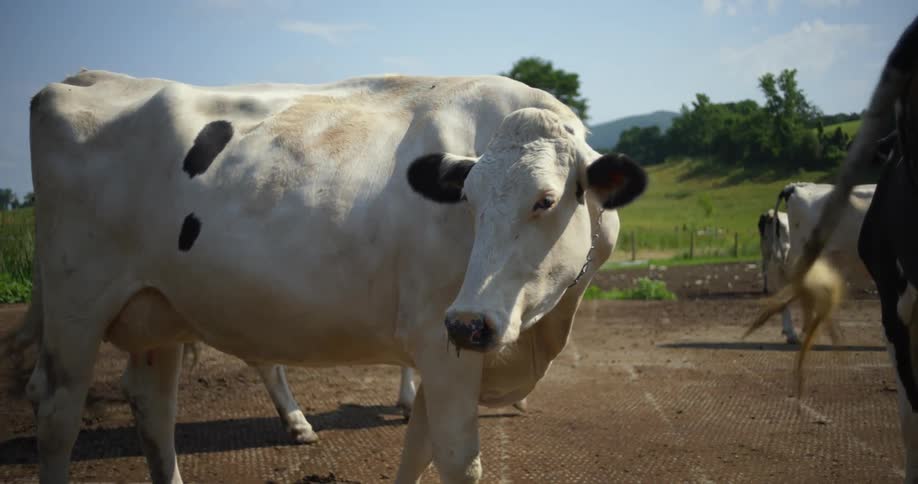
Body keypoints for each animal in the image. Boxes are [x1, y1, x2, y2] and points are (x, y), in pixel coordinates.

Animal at [11, 69, 646, 483]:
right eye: (467, 198)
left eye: (545, 201)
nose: (470, 324)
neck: (540, 334)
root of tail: (84, 78)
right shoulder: (440, 346)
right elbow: (457, 460)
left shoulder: (439, 352)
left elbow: (416, 451)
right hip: (76, 305)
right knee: (59, 413)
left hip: (159, 311)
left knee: (153, 409)